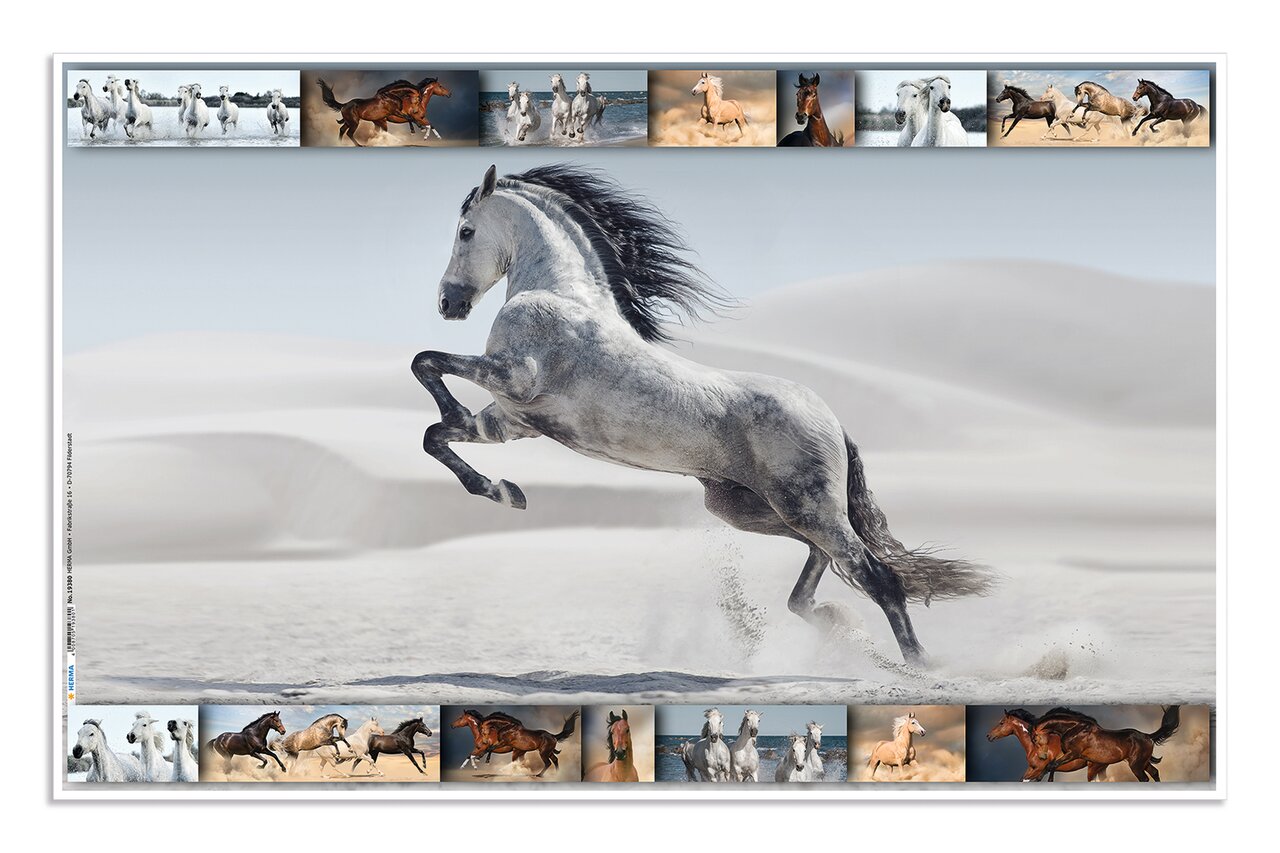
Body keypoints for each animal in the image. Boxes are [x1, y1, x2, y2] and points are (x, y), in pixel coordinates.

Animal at [413, 165, 993, 666]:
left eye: (465, 231)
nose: (447, 304)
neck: (560, 294)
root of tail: (833, 421)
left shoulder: (515, 378)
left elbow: (427, 363)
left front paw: (480, 452)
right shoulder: (511, 421)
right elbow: (435, 434)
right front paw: (504, 491)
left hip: (805, 506)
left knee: (876, 575)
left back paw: (917, 666)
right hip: (752, 509)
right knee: (824, 563)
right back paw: (832, 621)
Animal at [1035, 706, 1180, 782]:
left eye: (1034, 739)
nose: (1041, 756)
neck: (1075, 729)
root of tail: (1147, 736)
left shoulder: (1073, 754)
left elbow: (1052, 764)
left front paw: (1042, 779)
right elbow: (1052, 764)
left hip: (1136, 765)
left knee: (1144, 779)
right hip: (1142, 762)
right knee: (1154, 772)